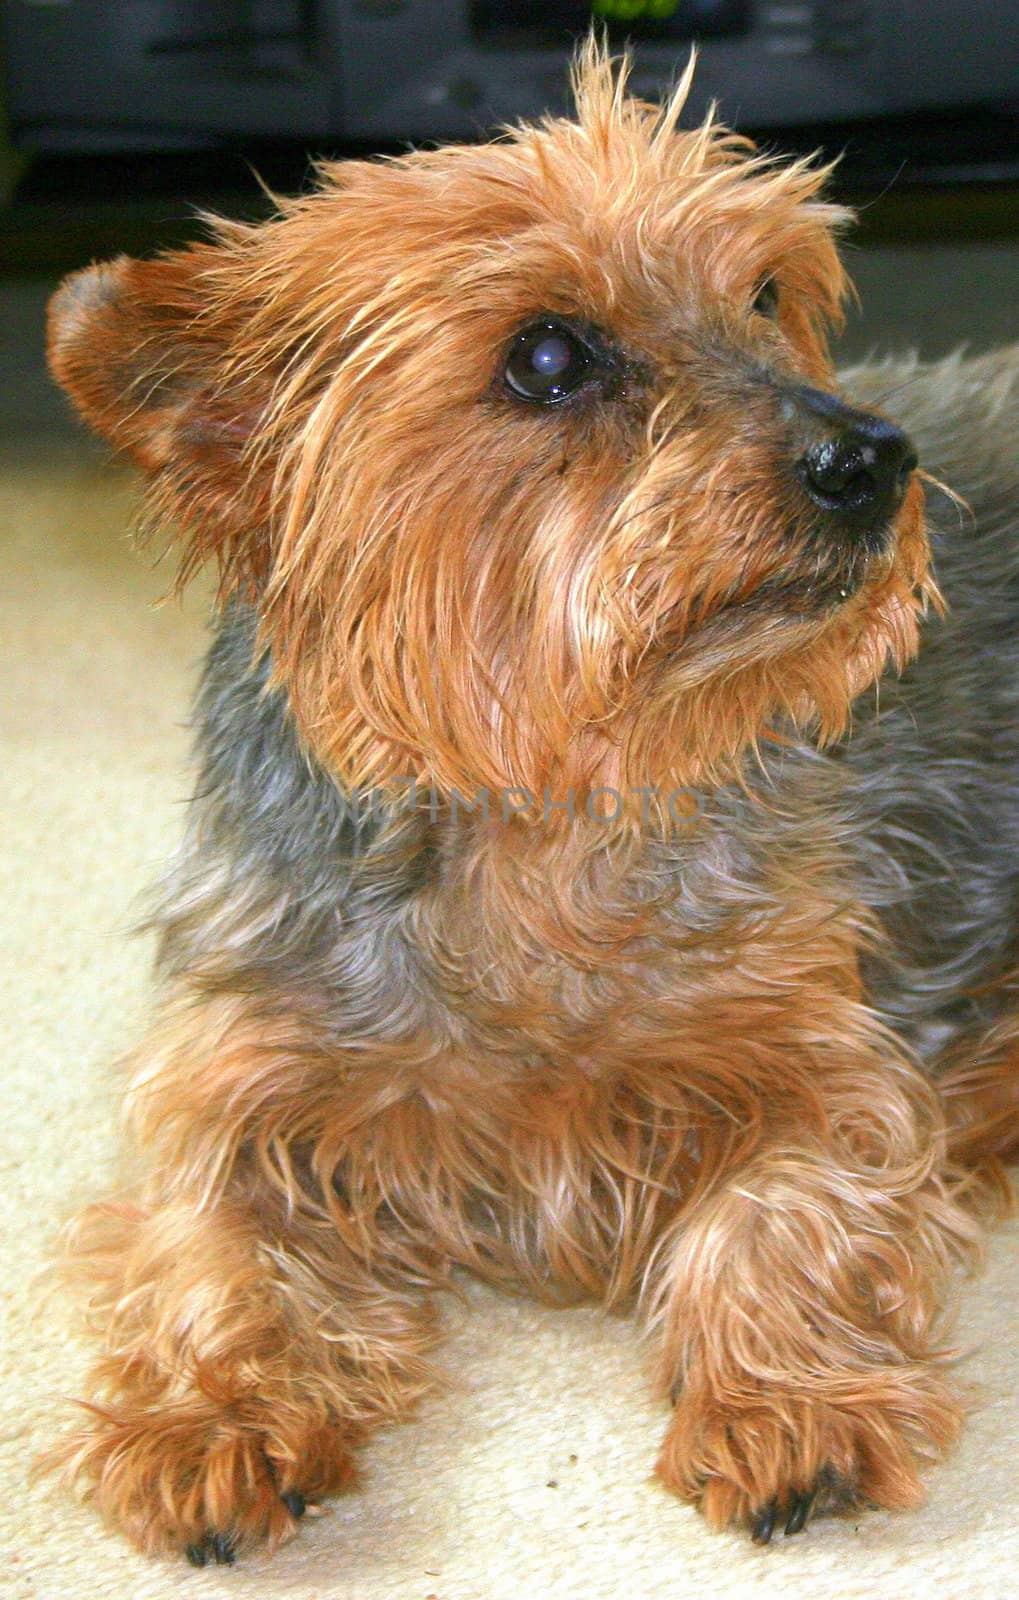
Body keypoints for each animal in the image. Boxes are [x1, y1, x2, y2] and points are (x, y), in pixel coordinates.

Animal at [39, 34, 1017, 1561]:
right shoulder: (239, 1057)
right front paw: (210, 1411)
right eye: (546, 357)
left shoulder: (817, 1044)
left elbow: (792, 1193)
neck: (545, 809)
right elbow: (204, 1238)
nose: (871, 460)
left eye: (765, 295)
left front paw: (786, 1400)